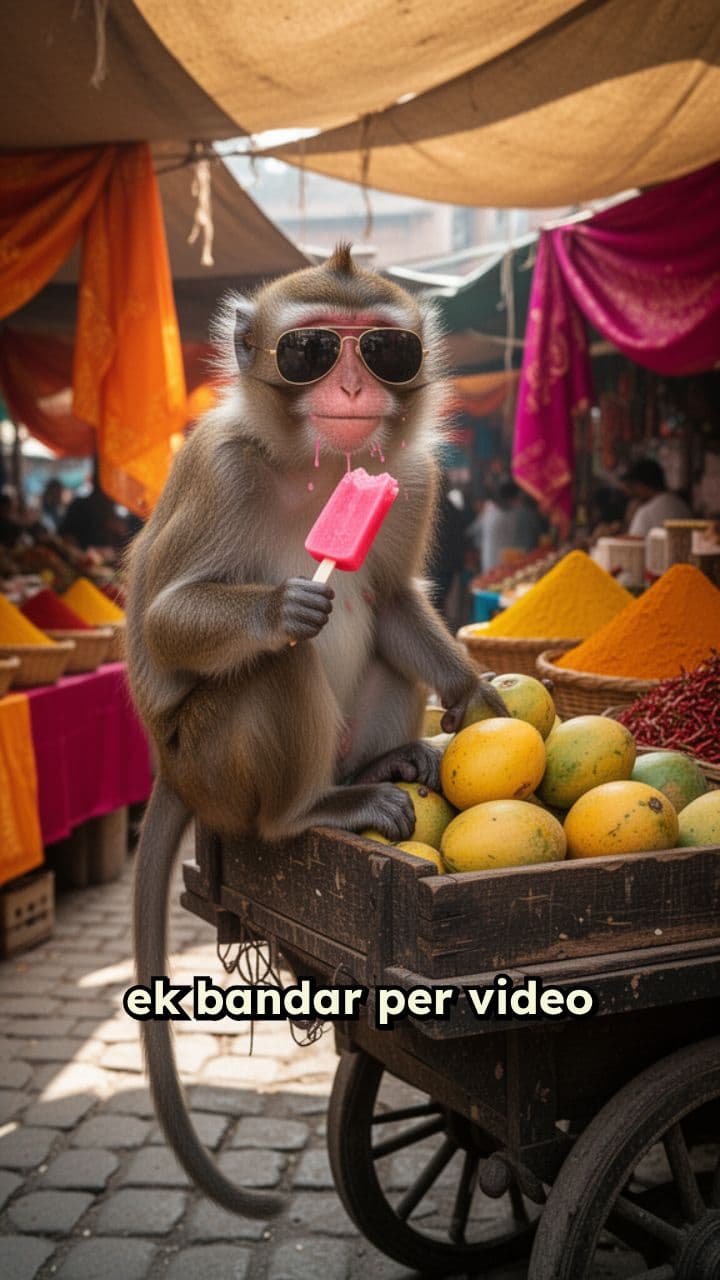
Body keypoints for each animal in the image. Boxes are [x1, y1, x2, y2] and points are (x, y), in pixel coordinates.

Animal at [125, 244, 506, 1219]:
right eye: (310, 349)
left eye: (383, 348)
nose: (352, 382)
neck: (321, 468)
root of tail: (171, 775)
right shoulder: (216, 465)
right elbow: (164, 625)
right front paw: (282, 606)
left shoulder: (412, 477)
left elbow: (395, 598)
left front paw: (479, 700)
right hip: (212, 761)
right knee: (279, 673)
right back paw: (311, 811)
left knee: (381, 642)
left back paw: (388, 762)